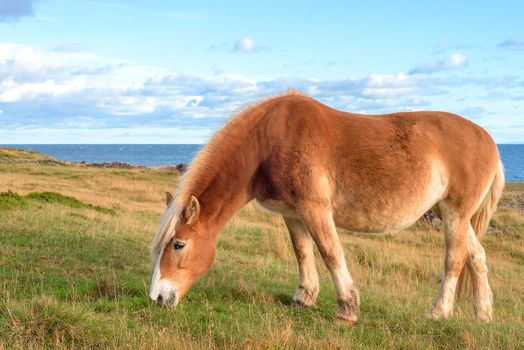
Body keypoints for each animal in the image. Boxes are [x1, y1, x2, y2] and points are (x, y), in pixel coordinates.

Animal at [147, 91, 504, 324]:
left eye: (178, 245)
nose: (157, 297)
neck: (272, 140)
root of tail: (489, 141)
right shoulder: (291, 213)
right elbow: (303, 252)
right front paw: (303, 298)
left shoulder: (315, 209)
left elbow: (330, 253)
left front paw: (347, 309)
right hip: (452, 215)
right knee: (477, 257)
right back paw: (483, 315)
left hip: (455, 213)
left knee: (455, 259)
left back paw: (438, 313)